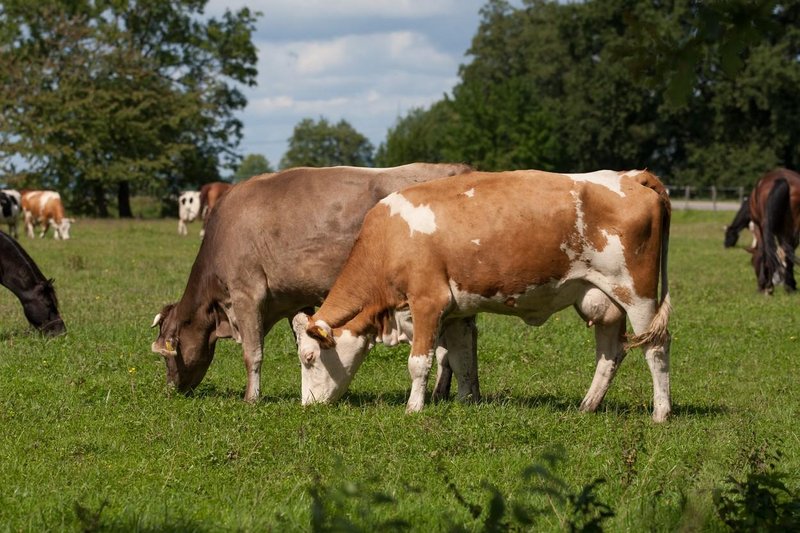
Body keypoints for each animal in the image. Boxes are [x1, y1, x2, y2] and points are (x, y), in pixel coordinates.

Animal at [149, 164, 476, 402]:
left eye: (168, 355)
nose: (171, 389)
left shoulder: (247, 294)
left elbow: (252, 354)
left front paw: (251, 399)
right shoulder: (296, 299)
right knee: (463, 341)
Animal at [296, 169, 672, 420]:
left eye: (309, 358)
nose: (307, 406)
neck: (388, 239)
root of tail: (630, 176)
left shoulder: (428, 302)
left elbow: (419, 363)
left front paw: (414, 408)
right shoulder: (457, 312)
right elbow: (462, 358)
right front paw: (466, 401)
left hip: (637, 295)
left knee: (656, 347)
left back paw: (661, 412)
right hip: (604, 299)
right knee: (610, 353)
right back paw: (588, 405)